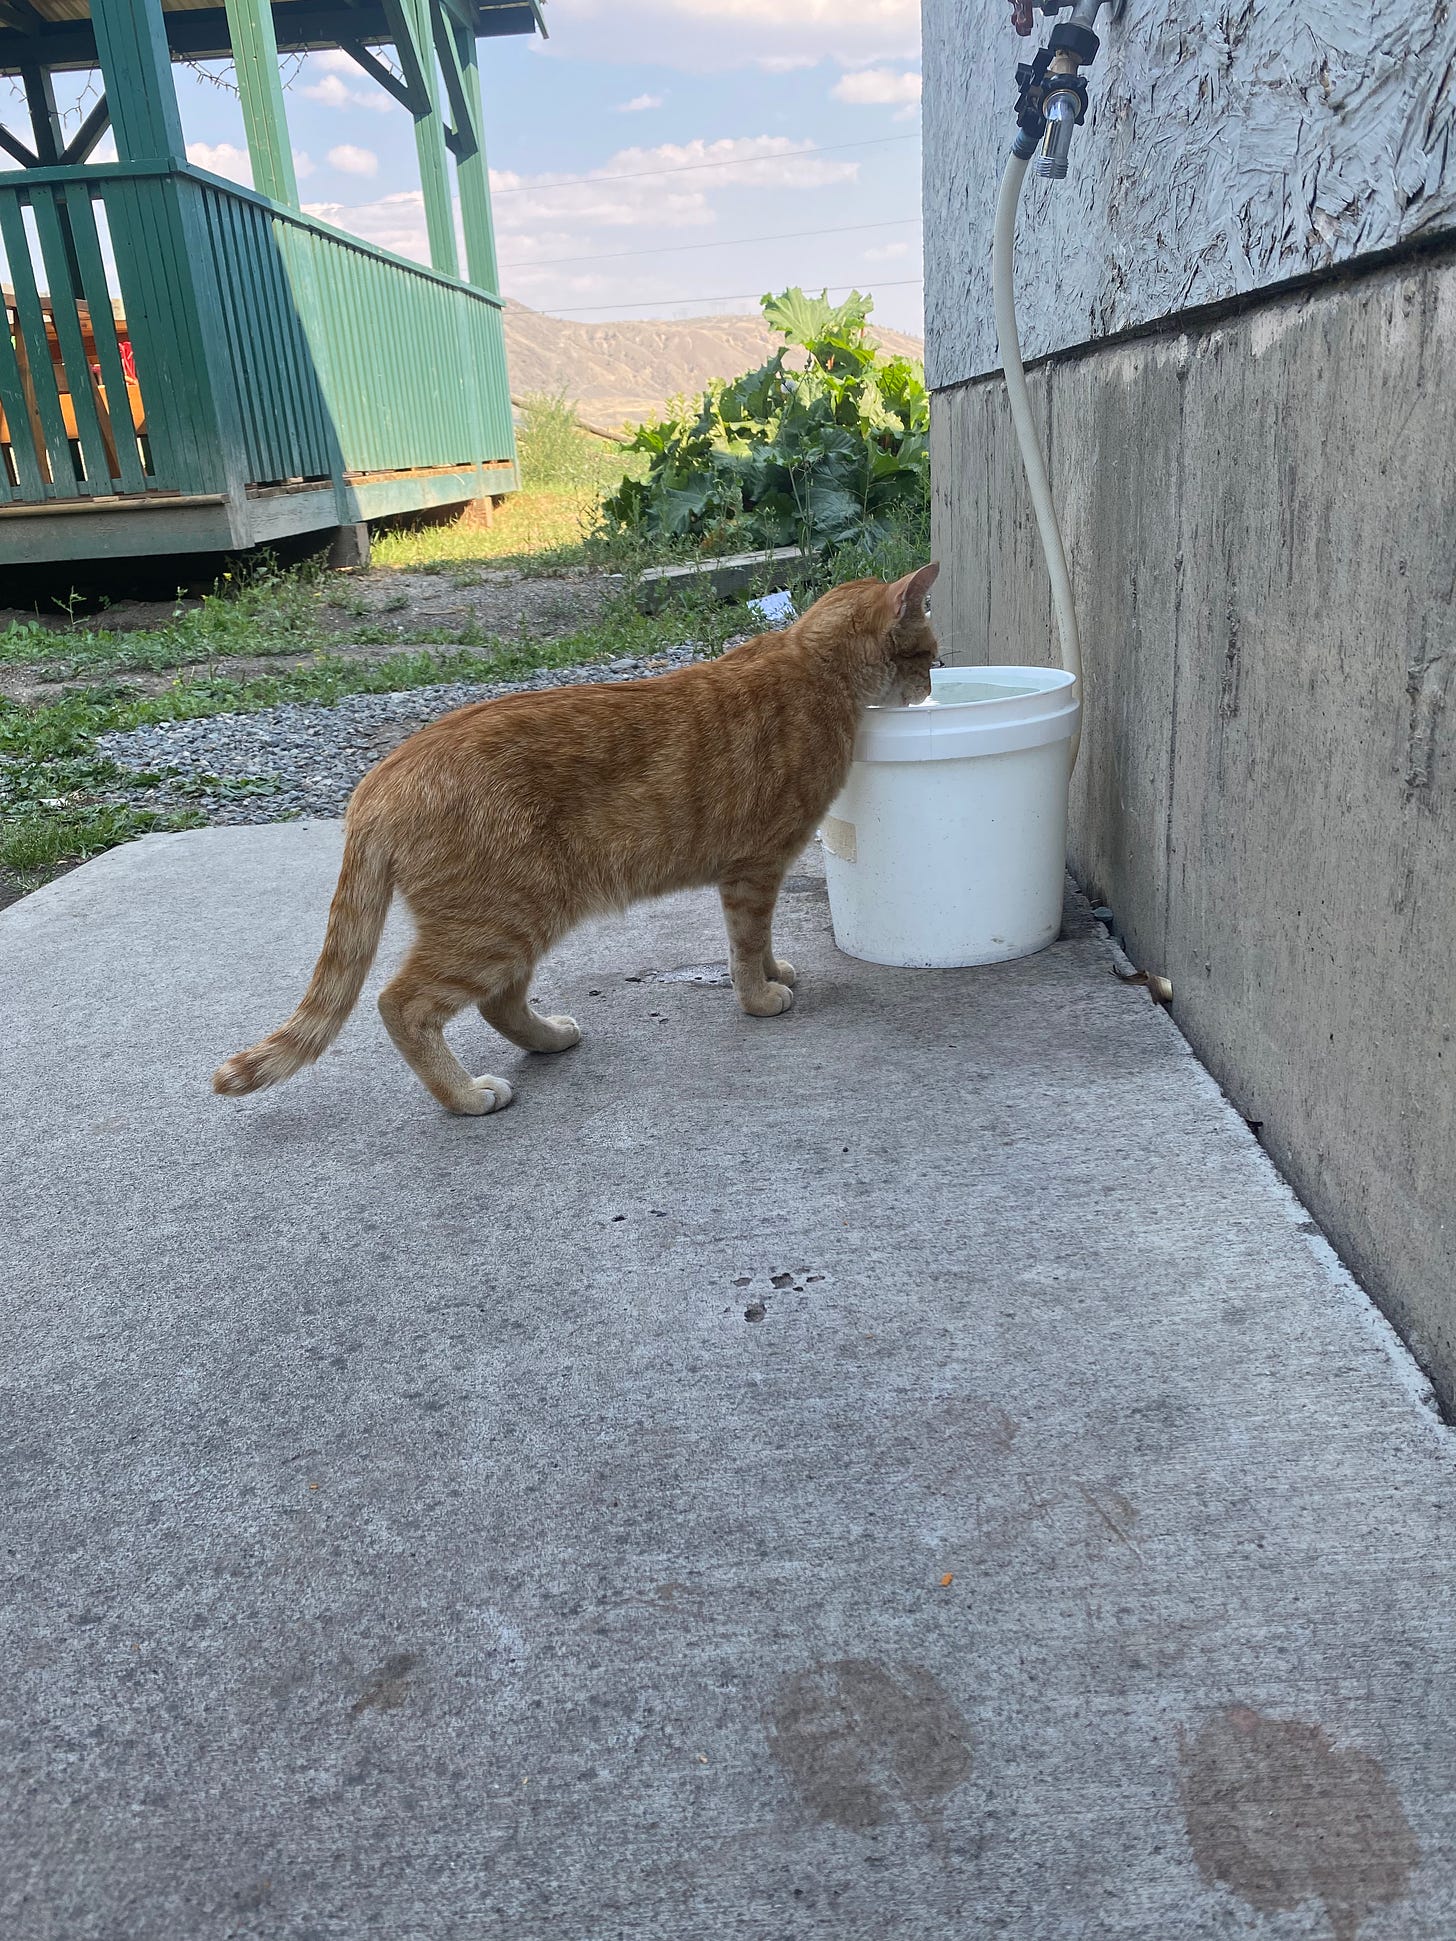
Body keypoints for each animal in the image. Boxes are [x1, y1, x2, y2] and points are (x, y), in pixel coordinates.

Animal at [216, 562, 947, 1118]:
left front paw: (773, 973)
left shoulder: (753, 873)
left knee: (500, 1002)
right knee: (404, 1004)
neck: (813, 663)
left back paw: (547, 1038)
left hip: (520, 920)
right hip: (501, 921)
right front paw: (760, 997)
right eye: (929, 654)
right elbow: (746, 944)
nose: (935, 681)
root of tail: (380, 777)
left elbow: (760, 942)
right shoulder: (755, 867)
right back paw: (465, 1096)